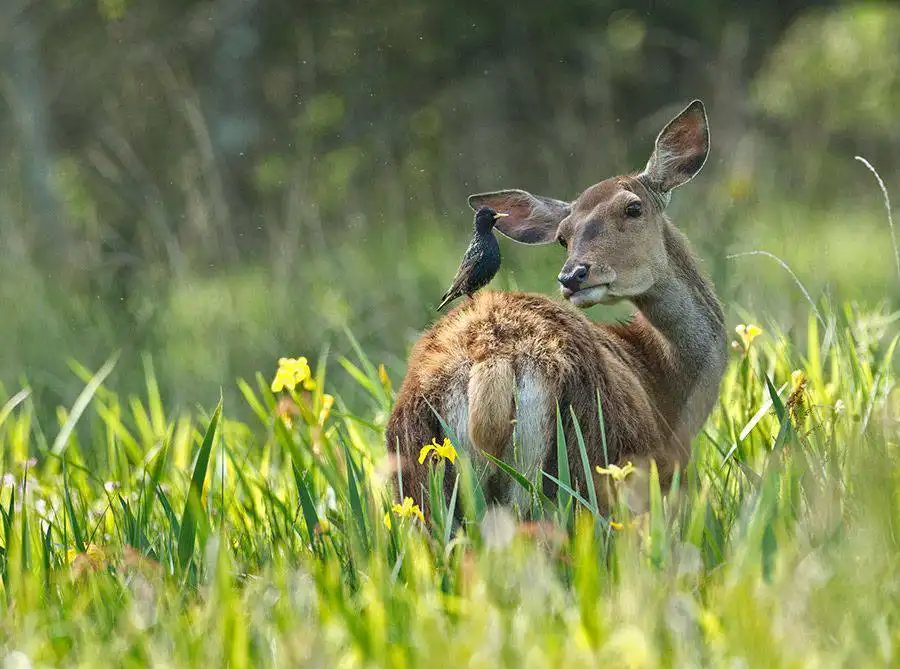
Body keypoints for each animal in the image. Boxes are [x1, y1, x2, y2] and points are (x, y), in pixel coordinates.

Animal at [386, 100, 726, 514]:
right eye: (563, 237)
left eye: (634, 208)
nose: (573, 275)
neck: (667, 383)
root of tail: (491, 363)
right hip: (585, 469)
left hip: (420, 488)